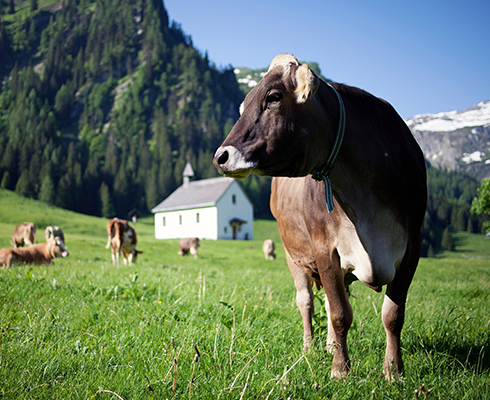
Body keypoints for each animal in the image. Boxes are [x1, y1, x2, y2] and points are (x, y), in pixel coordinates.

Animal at [212, 54, 426, 382]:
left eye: (272, 98)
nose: (220, 156)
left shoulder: (412, 244)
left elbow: (392, 315)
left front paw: (393, 370)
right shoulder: (324, 247)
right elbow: (339, 314)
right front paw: (341, 369)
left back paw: (328, 346)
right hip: (294, 255)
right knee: (307, 302)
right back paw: (310, 347)